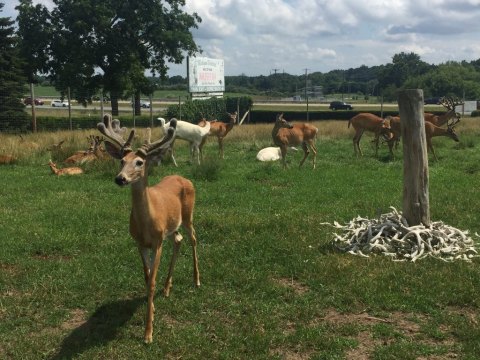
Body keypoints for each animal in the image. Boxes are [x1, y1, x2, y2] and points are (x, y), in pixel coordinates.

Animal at [98, 114, 200, 344]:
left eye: (139, 162)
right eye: (121, 160)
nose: (120, 178)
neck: (146, 224)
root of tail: (184, 177)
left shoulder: (157, 242)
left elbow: (152, 280)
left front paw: (148, 332)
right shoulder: (140, 243)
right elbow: (146, 277)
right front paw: (150, 306)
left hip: (188, 215)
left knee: (193, 238)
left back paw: (197, 280)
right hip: (172, 227)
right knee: (179, 240)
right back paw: (167, 287)